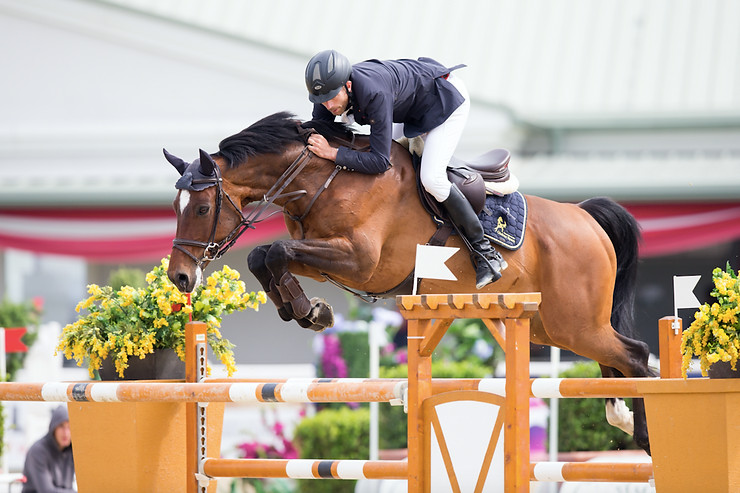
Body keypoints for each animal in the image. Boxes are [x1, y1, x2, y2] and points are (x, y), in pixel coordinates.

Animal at [165, 111, 652, 454]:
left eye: (202, 208)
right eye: (175, 206)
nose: (180, 276)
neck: (324, 176)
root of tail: (584, 217)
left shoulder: (359, 259)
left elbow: (276, 251)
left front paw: (308, 311)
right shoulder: (322, 254)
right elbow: (264, 255)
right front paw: (307, 311)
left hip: (575, 324)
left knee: (635, 354)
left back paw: (643, 435)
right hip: (550, 327)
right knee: (617, 362)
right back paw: (623, 417)